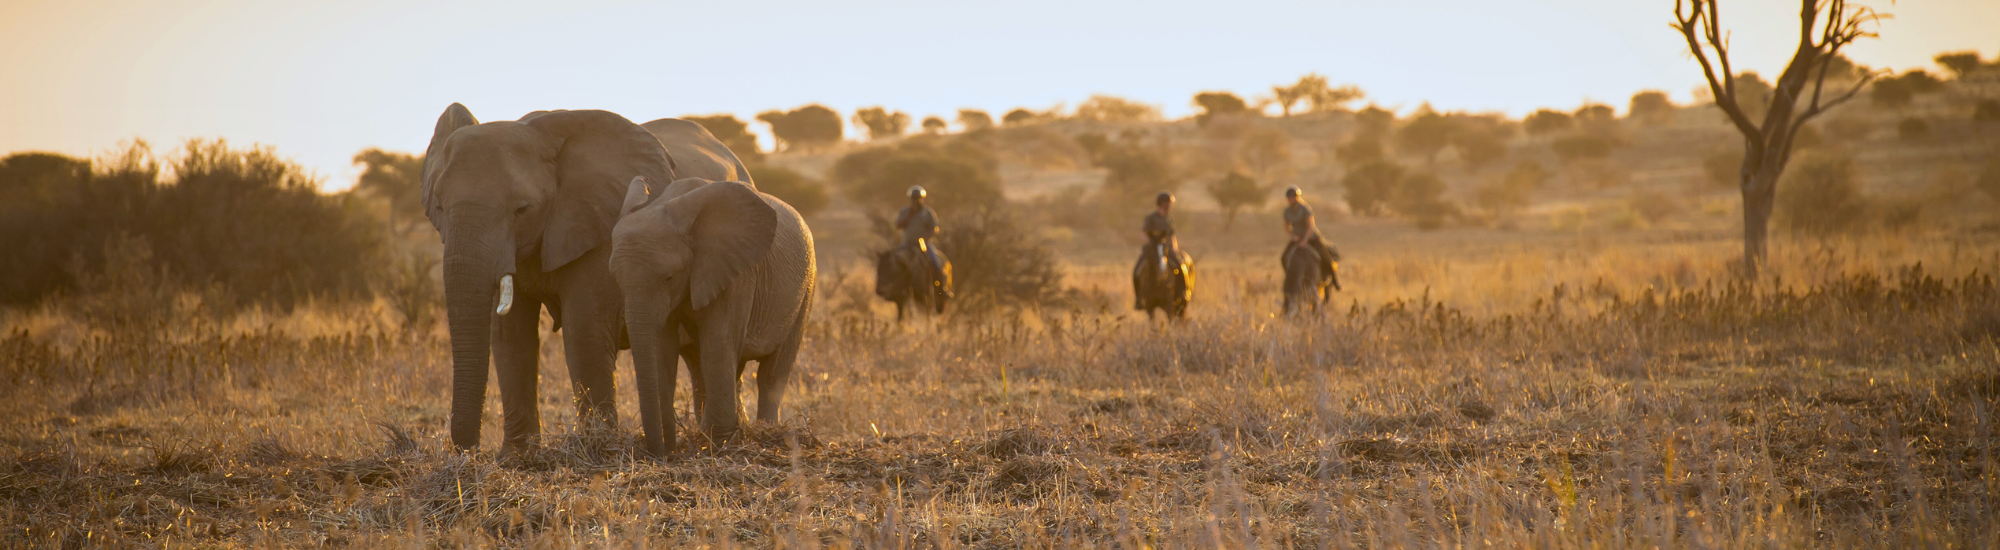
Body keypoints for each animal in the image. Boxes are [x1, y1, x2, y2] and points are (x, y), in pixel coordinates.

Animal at [418, 104, 748, 458]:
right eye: (439, 207)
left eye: (522, 209)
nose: (469, 450)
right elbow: (510, 337)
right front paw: (518, 458)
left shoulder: (601, 227)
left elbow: (583, 332)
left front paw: (599, 448)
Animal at [608, 179, 812, 460]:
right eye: (616, 279)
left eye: (669, 277)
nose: (663, 454)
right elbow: (664, 350)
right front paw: (688, 444)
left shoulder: (736, 272)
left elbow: (717, 342)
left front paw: (716, 444)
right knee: (703, 369)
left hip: (805, 291)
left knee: (772, 373)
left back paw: (765, 433)